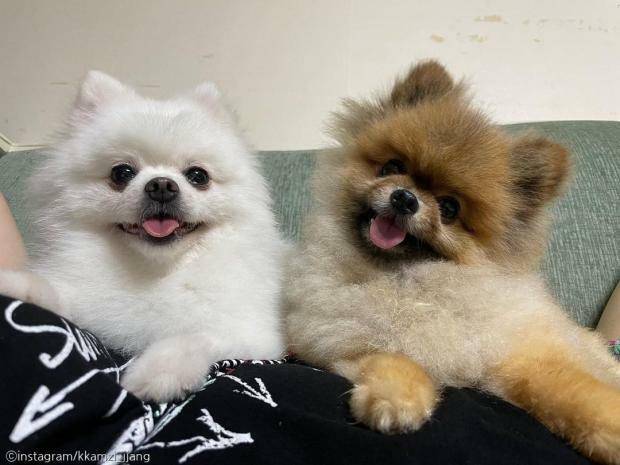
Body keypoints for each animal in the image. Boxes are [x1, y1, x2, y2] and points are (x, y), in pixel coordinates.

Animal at [0, 71, 285, 402]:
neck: (155, 272)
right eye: (121, 173)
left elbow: (193, 337)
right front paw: (16, 285)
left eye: (198, 176)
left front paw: (159, 372)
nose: (161, 186)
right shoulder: (85, 302)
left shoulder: (250, 333)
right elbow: (51, 292)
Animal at [285, 60, 620, 463]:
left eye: (449, 208)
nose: (404, 198)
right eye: (391, 167)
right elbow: (391, 358)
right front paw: (397, 398)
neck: (408, 280)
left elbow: (575, 391)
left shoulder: (518, 357)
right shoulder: (336, 341)